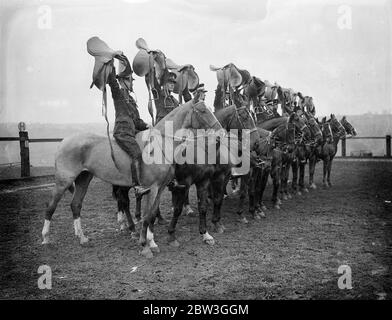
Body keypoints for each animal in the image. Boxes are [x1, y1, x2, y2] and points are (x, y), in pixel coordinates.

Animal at [40, 100, 224, 260]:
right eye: (202, 111)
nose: (221, 132)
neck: (160, 145)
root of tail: (64, 141)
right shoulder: (154, 188)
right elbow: (147, 215)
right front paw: (145, 246)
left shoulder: (160, 188)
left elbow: (152, 214)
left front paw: (152, 242)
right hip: (63, 181)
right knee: (51, 207)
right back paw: (46, 238)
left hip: (83, 179)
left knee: (76, 205)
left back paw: (82, 237)